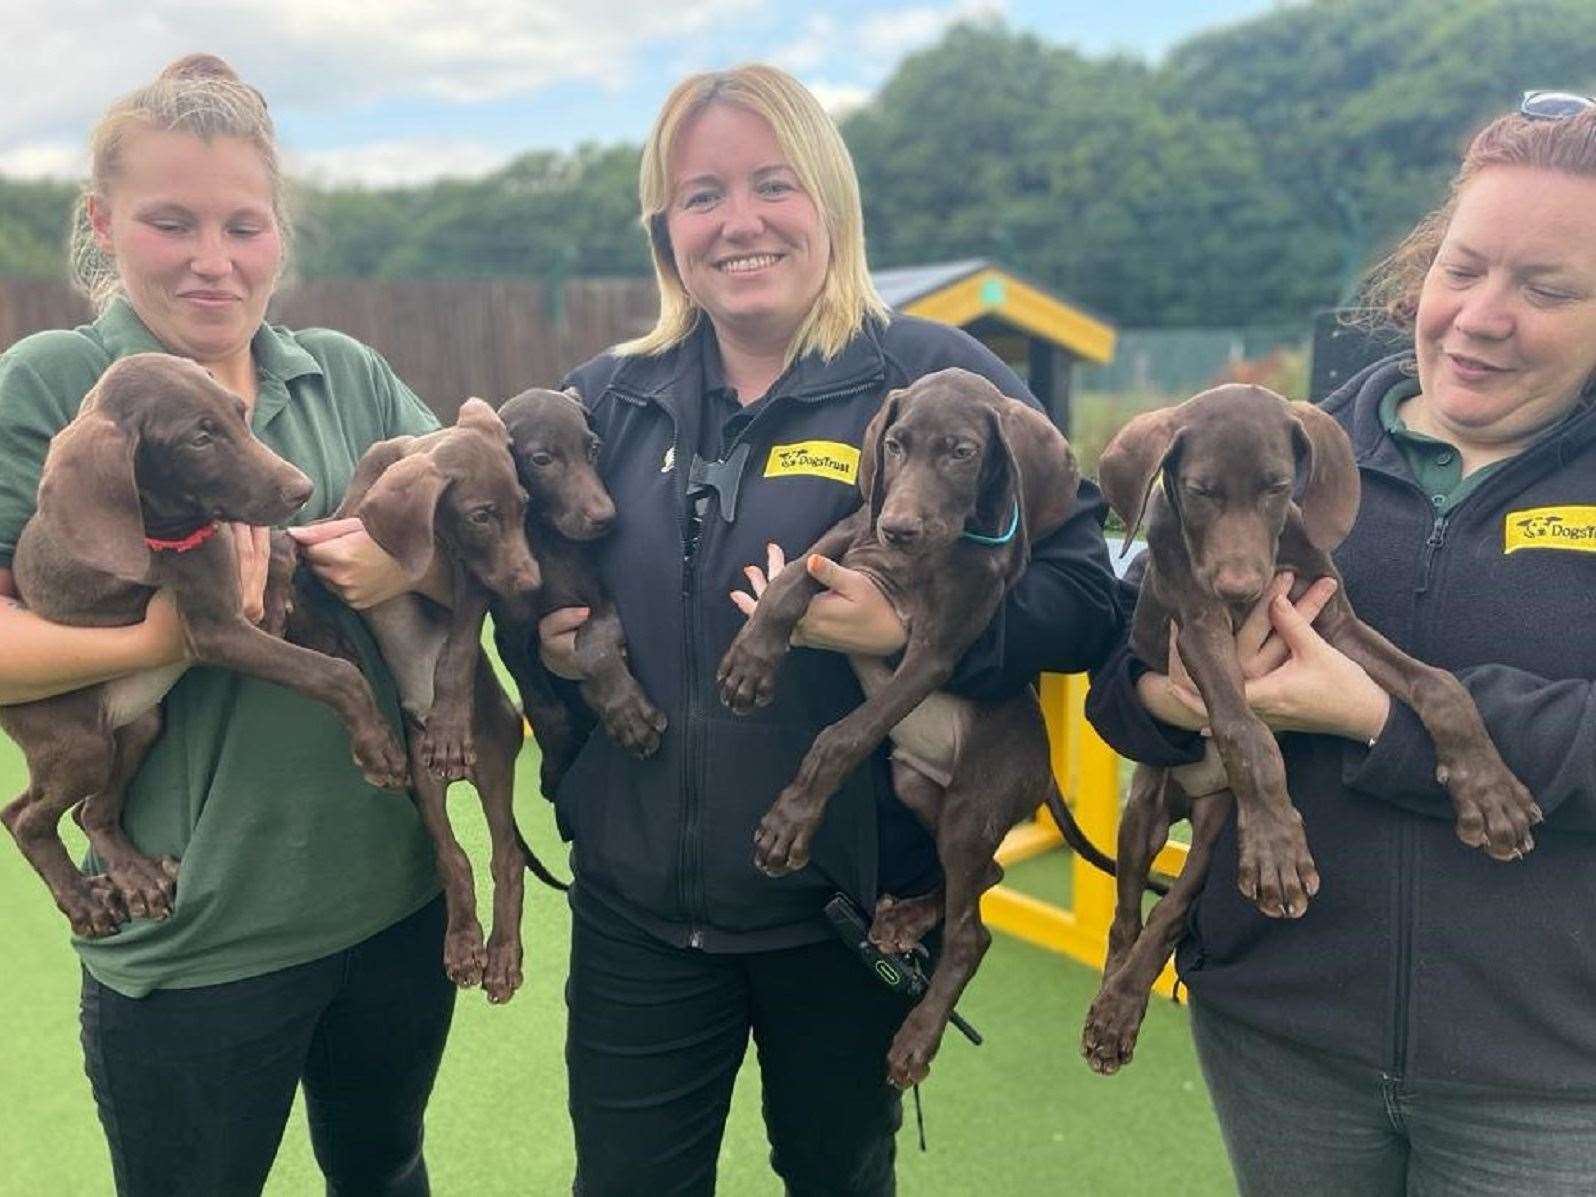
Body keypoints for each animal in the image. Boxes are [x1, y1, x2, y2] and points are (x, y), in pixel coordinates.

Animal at [3, 351, 411, 944]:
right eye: (199, 439)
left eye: (239, 413)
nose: (302, 489)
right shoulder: (216, 631)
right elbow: (331, 673)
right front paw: (377, 745)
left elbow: (295, 571)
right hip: (75, 741)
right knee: (24, 817)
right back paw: (82, 899)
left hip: (139, 725)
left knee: (89, 813)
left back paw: (138, 876)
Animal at [721, 370, 1110, 1091]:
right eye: (895, 444)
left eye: (961, 452)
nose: (899, 527)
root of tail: (1042, 768)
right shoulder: (849, 533)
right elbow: (792, 579)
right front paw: (751, 657)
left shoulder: (932, 653)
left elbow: (842, 736)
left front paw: (790, 823)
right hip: (917, 787)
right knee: (984, 874)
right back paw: (906, 916)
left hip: (976, 803)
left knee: (972, 934)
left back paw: (917, 1038)